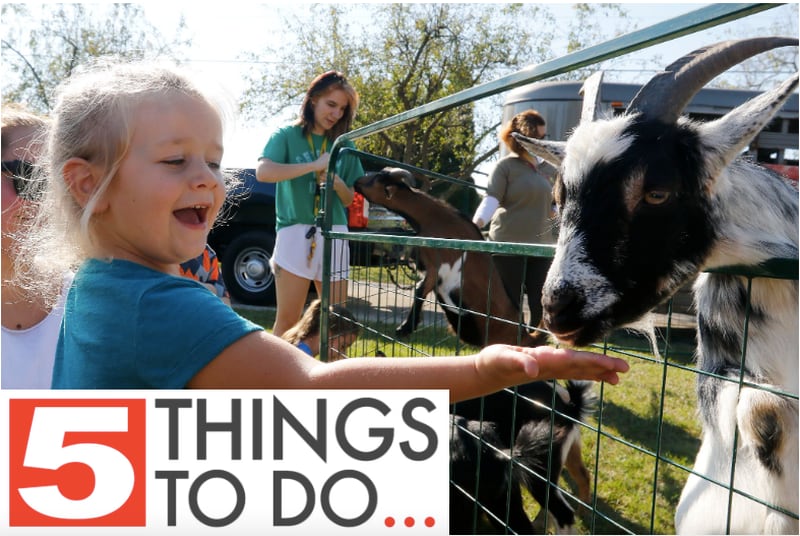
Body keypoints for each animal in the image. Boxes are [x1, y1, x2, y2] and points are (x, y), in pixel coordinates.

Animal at [354, 166, 548, 348]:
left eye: (379, 177)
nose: (357, 181)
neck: (436, 220)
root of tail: (525, 336)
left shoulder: (439, 266)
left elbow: (419, 290)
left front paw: (405, 328)